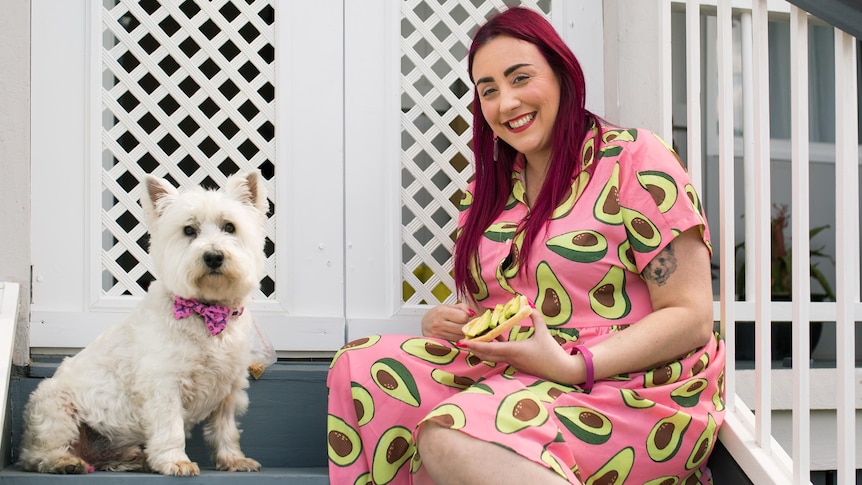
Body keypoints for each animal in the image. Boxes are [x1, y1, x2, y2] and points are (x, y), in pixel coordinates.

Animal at [21, 172, 270, 474]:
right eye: (189, 230)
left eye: (229, 227)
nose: (213, 256)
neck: (207, 313)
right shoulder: (163, 385)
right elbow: (170, 428)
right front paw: (176, 461)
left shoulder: (228, 389)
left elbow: (226, 429)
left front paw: (233, 459)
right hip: (55, 406)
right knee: (38, 453)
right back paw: (65, 462)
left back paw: (133, 458)